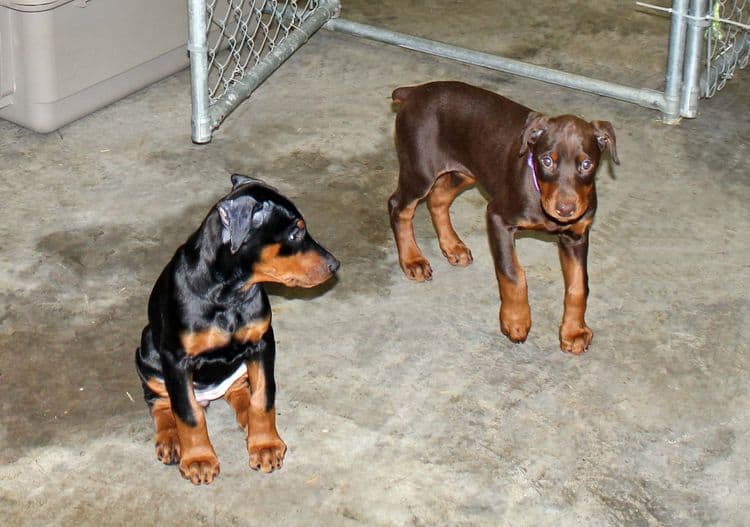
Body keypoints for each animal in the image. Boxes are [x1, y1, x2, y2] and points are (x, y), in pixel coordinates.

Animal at [136, 176, 340, 486]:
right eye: (295, 234)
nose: (335, 265)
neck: (229, 293)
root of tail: (209, 396)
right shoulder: (176, 359)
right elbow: (187, 413)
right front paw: (198, 460)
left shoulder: (262, 342)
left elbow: (263, 396)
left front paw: (265, 444)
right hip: (147, 351)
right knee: (161, 402)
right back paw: (170, 440)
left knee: (242, 391)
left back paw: (247, 421)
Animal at [390, 81, 620, 354]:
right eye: (546, 160)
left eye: (586, 164)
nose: (565, 210)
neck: (538, 189)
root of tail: (414, 92)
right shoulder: (498, 217)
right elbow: (513, 273)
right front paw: (515, 320)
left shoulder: (576, 236)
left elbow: (578, 286)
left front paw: (574, 332)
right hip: (420, 171)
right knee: (399, 207)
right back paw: (412, 260)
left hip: (465, 171)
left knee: (438, 199)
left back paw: (453, 246)